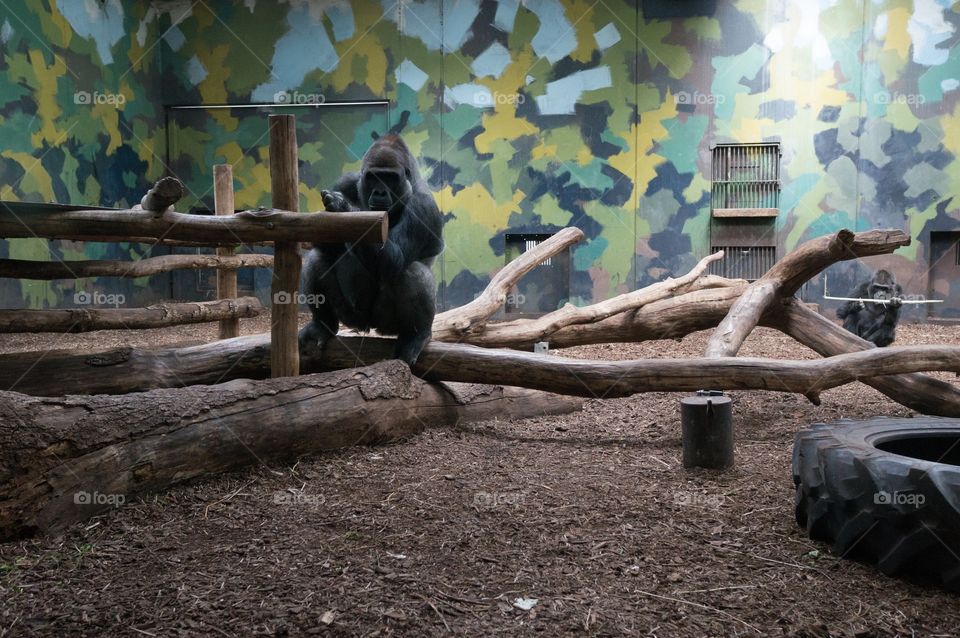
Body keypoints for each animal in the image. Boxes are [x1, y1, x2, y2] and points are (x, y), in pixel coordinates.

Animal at [298, 134, 444, 365]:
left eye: (390, 178)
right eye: (374, 177)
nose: (380, 192)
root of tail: (370, 327)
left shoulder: (424, 207)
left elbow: (394, 260)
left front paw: (344, 208)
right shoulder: (346, 181)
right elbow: (322, 240)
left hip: (388, 325)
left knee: (411, 271)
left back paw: (416, 336)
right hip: (352, 318)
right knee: (318, 257)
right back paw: (322, 325)